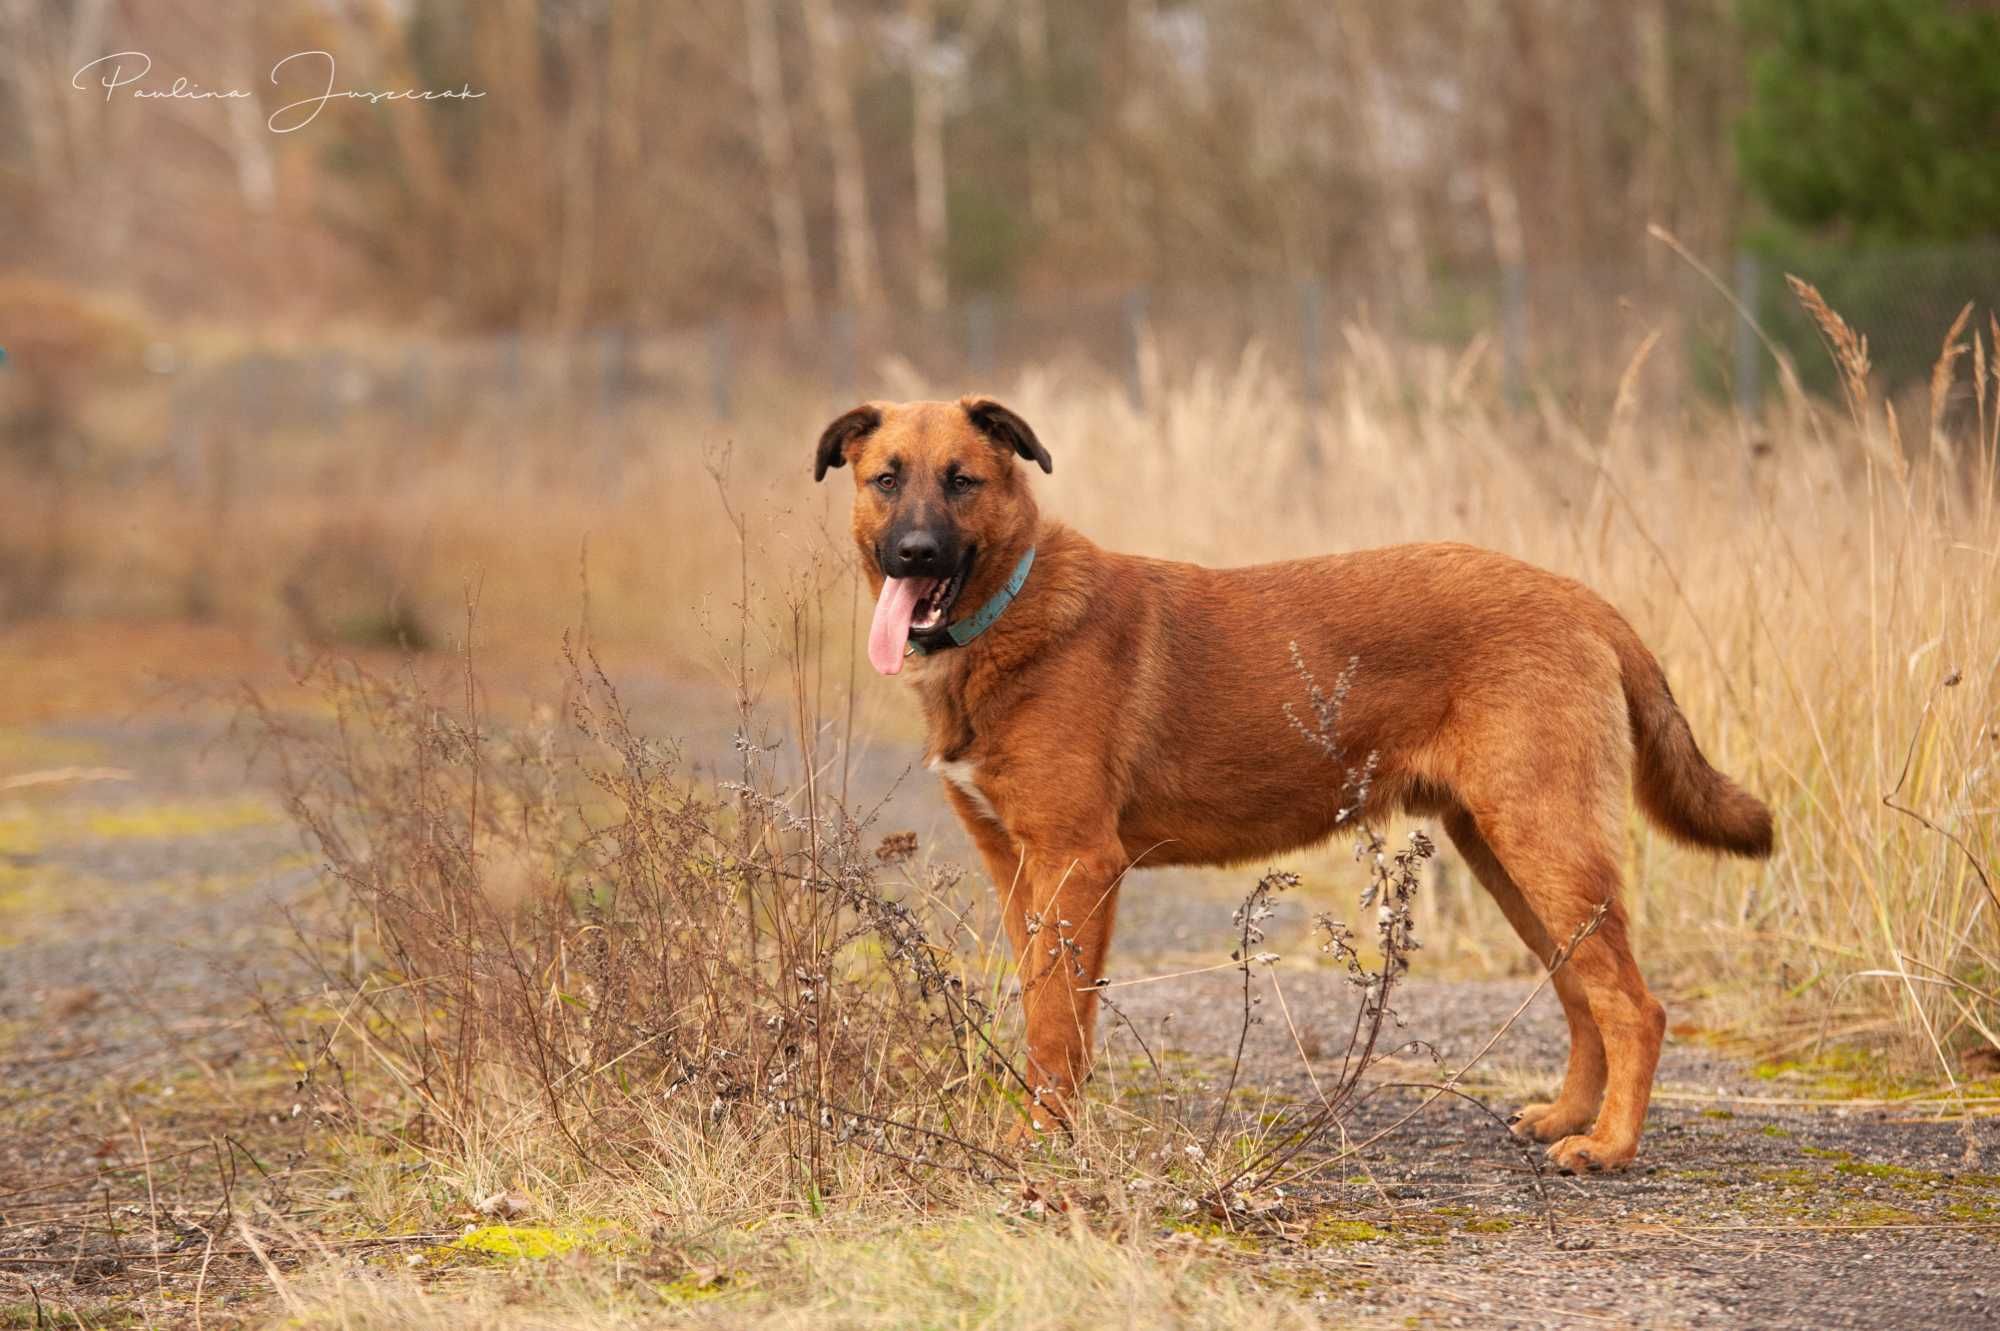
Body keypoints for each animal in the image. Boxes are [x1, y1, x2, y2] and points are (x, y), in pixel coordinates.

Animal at [804, 395, 1776, 1175]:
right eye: (886, 478)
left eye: (962, 481)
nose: (913, 553)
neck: (1008, 610)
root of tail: (1586, 602)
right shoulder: (1020, 868)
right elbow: (1055, 1014)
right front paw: (1058, 1127)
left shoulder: (1077, 862)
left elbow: (1052, 1019)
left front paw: (1042, 1139)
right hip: (1511, 854)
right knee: (1583, 992)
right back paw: (1570, 1115)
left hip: (1545, 842)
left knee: (1635, 1005)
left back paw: (1609, 1145)